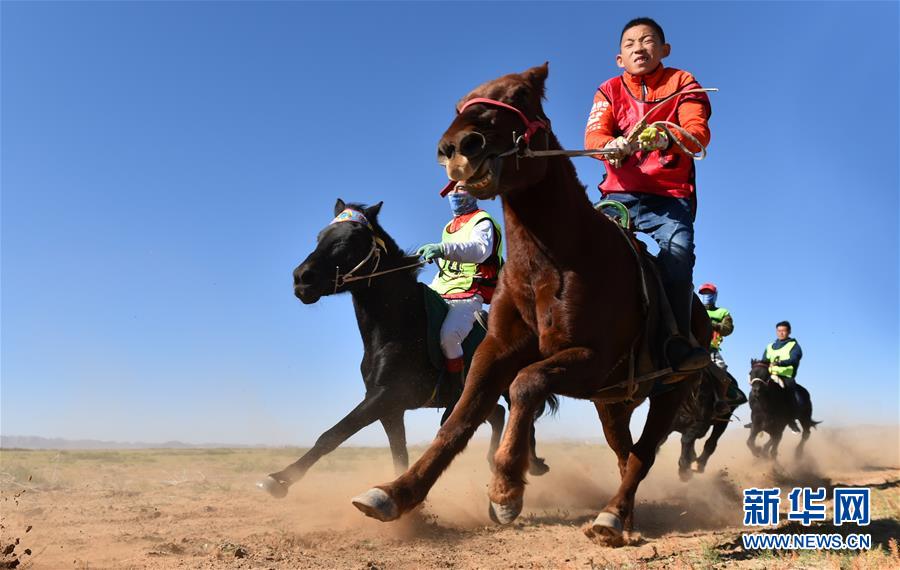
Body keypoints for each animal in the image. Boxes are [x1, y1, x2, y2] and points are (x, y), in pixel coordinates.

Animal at [256, 199, 556, 496]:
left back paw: (529, 463)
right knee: (499, 414)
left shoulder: (386, 395)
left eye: (350, 239)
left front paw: (280, 479)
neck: (398, 328)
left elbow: (333, 435)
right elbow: (398, 455)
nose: (302, 278)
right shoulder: (390, 409)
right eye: (320, 237)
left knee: (520, 413)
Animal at [350, 64, 712, 544]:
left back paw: (612, 515)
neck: (550, 261)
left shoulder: (589, 359)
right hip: (613, 402)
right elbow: (459, 419)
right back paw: (626, 515)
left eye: (520, 94)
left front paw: (506, 488)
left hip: (668, 390)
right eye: (460, 104)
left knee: (643, 453)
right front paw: (396, 492)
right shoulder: (496, 350)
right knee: (625, 451)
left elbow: (526, 384)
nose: (458, 146)